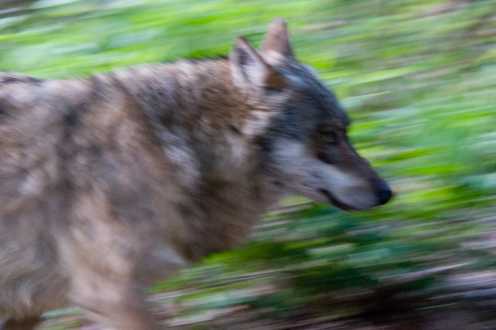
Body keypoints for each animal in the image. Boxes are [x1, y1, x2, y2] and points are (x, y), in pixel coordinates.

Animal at [0, 19, 392, 328]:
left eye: (346, 131)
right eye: (328, 135)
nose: (387, 192)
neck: (171, 147)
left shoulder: (28, 308)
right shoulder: (111, 294)